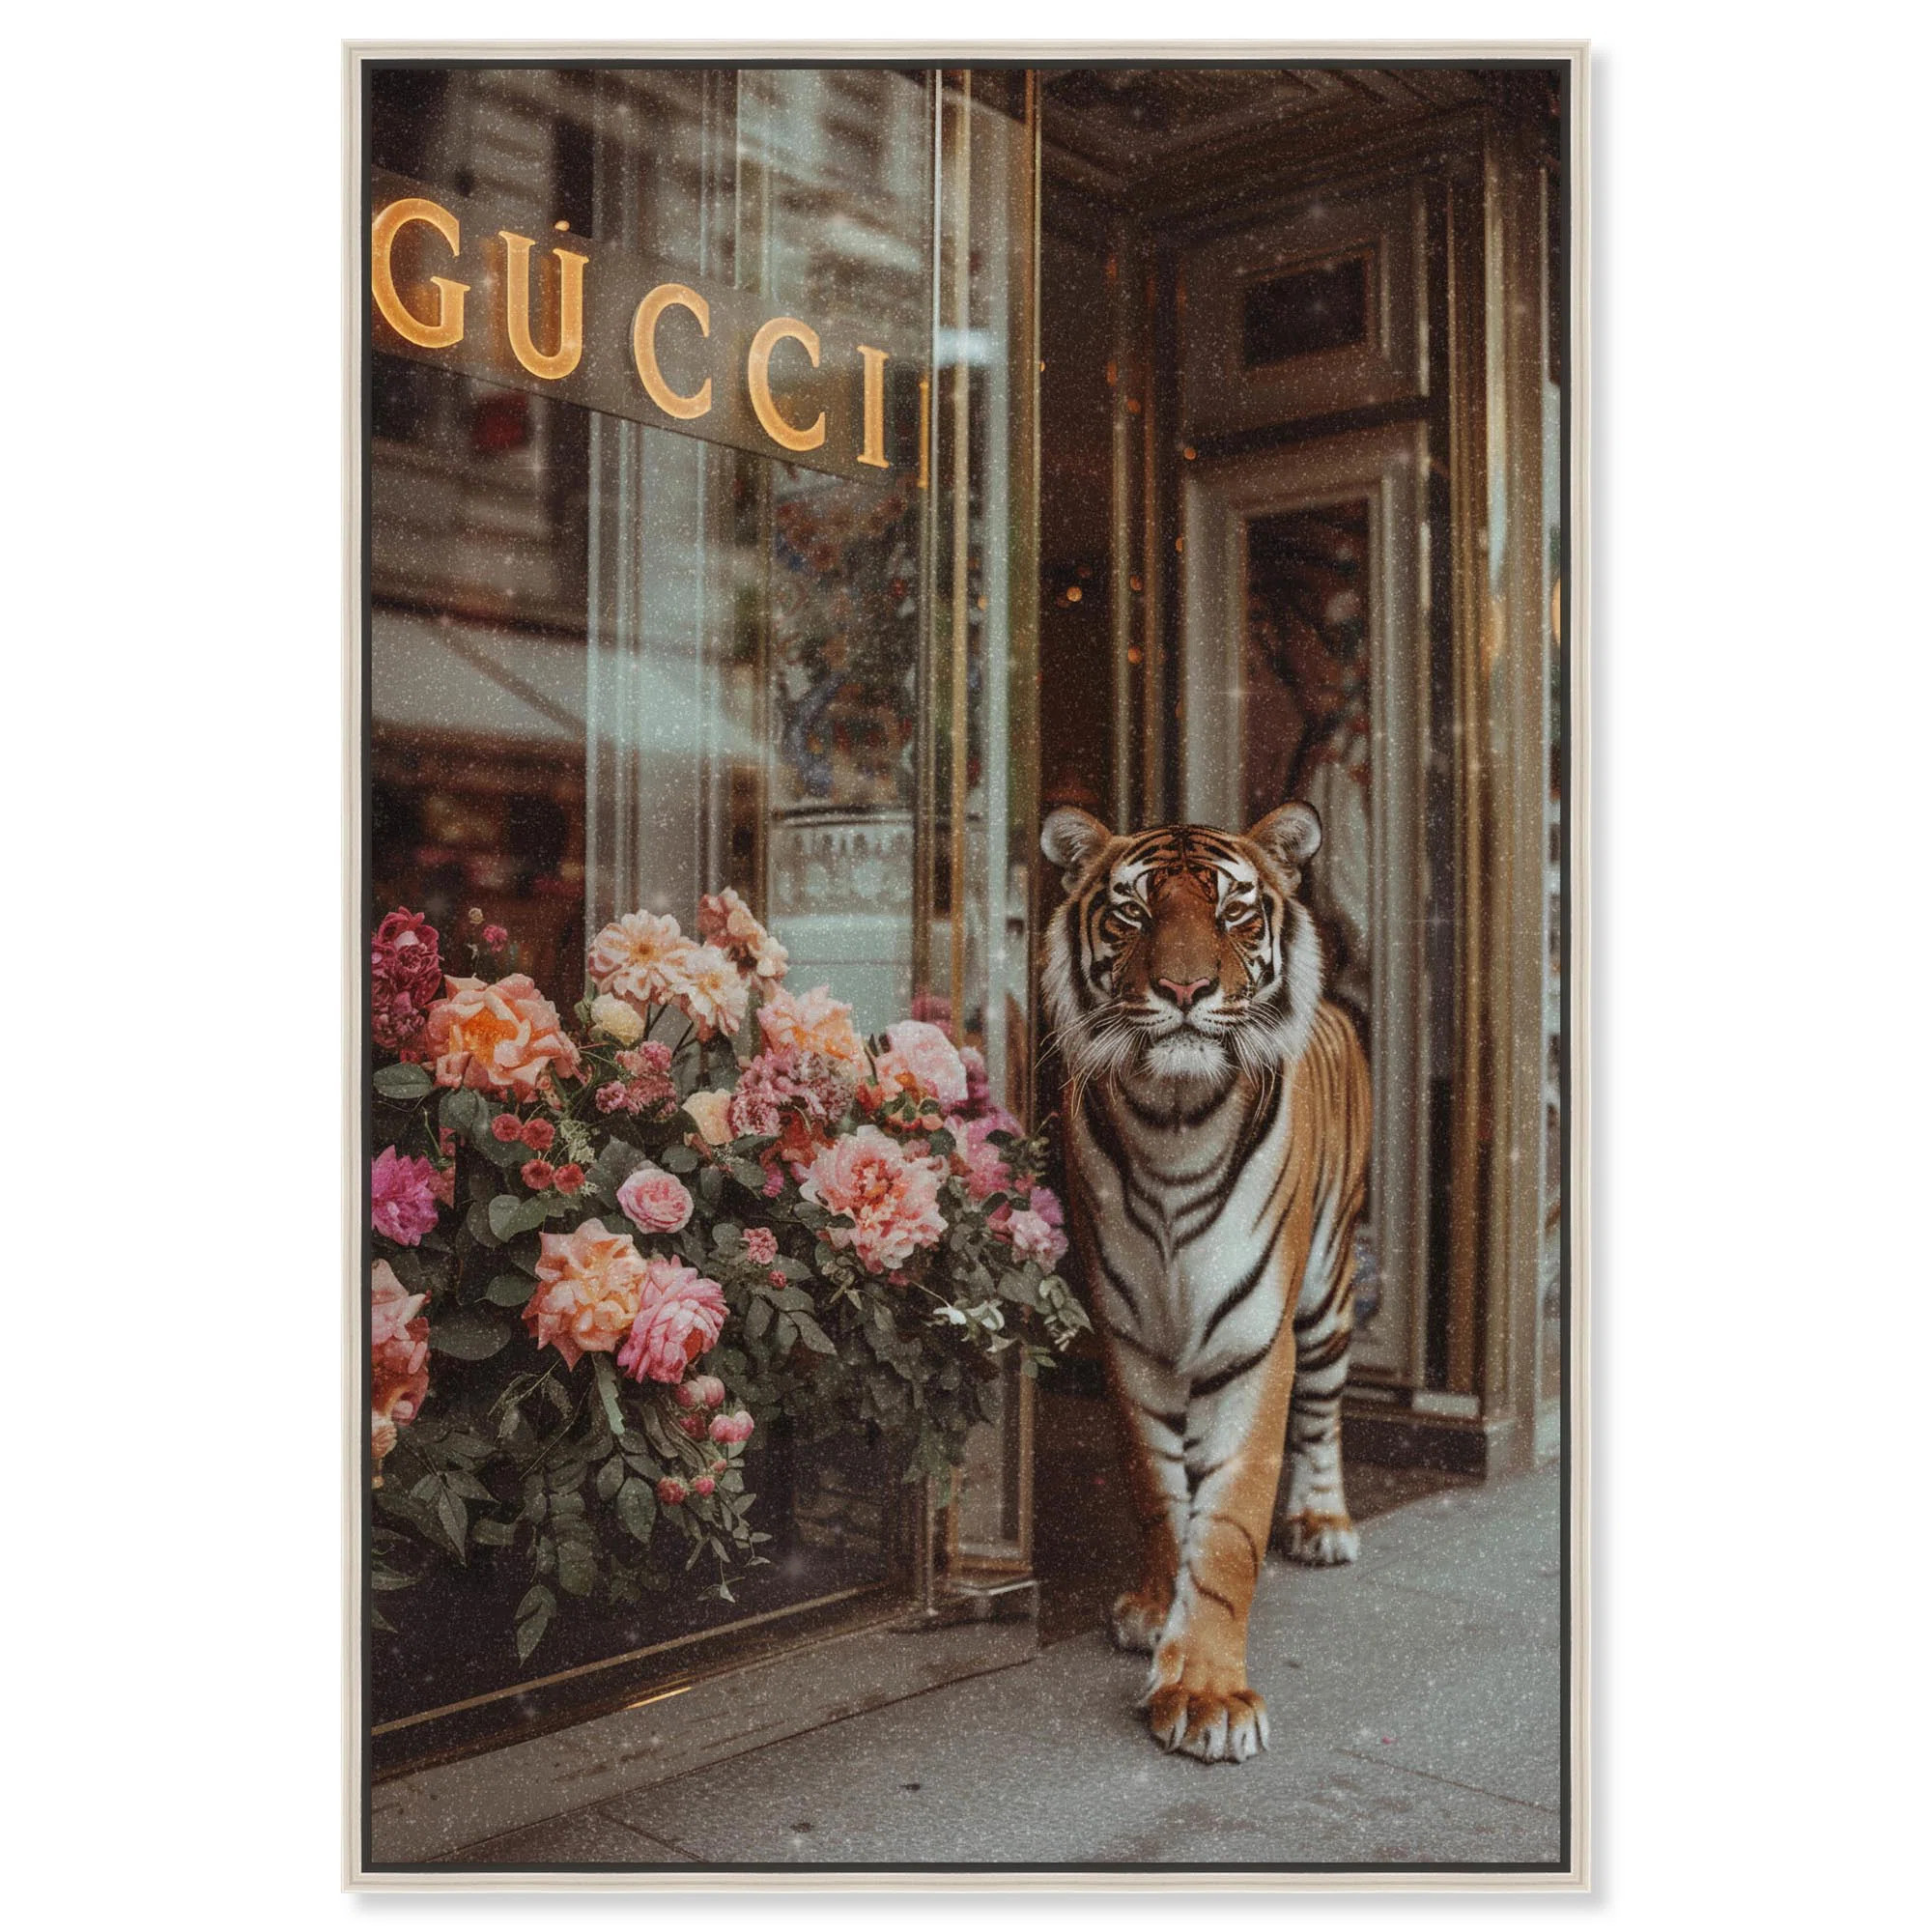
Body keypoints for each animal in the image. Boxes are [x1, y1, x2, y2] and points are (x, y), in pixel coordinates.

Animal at [1040, 802, 1371, 1764]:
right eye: (1133, 912)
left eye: (1233, 912)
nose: (1184, 990)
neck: (1173, 1120)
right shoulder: (1130, 1339)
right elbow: (1160, 1491)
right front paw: (1158, 1611)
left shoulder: (1256, 1345)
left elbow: (1227, 1529)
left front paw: (1207, 1695)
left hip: (1330, 1295)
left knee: (1325, 1416)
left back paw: (1323, 1523)